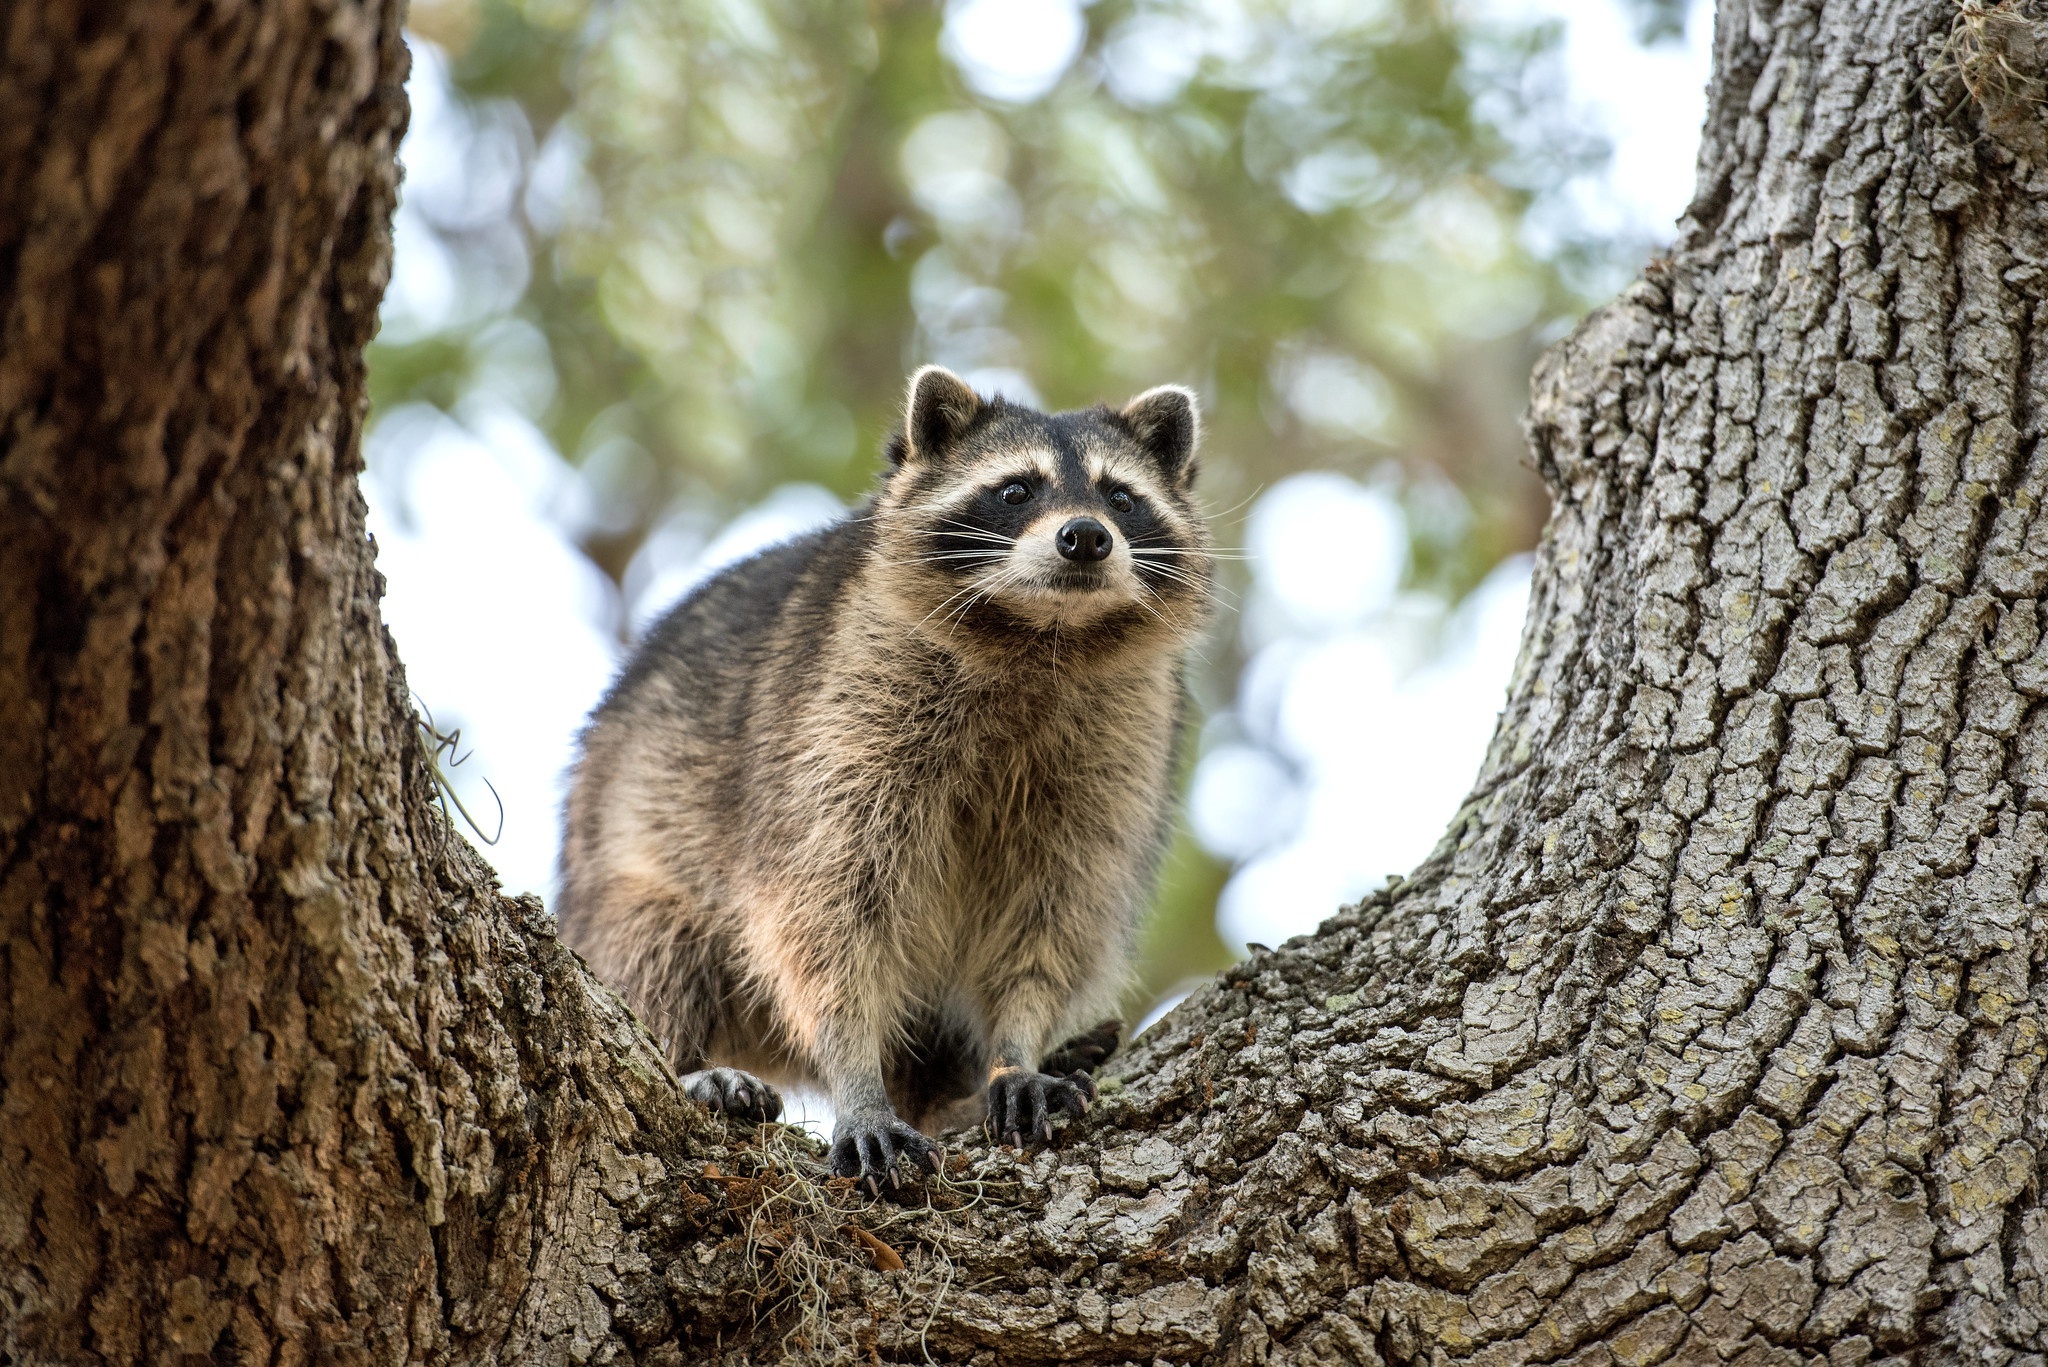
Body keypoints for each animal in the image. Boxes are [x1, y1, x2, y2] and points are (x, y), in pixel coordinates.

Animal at [552, 368, 1204, 1188]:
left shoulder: (1115, 752)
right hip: (620, 860)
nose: (1086, 535)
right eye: (1016, 489)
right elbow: (825, 911)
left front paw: (1015, 1048)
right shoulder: (839, 716)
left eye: (1121, 497)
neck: (1044, 633)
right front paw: (856, 1078)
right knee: (652, 938)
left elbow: (1054, 914)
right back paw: (689, 1062)